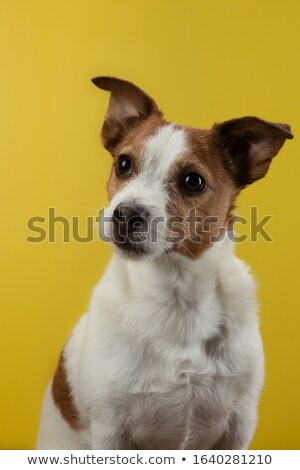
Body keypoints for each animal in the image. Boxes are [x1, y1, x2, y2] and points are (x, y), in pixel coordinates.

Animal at [36, 78, 292, 452]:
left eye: (193, 181)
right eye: (123, 164)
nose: (125, 215)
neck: (176, 294)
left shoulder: (238, 426)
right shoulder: (110, 429)